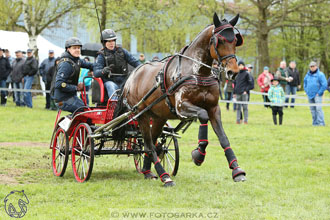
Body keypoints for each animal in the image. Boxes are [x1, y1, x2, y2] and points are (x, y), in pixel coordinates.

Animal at [118, 12, 245, 186]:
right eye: (220, 41)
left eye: (235, 40)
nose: (233, 72)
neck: (198, 72)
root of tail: (132, 76)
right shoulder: (181, 106)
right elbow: (202, 115)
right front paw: (198, 155)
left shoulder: (214, 108)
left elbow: (223, 138)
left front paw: (237, 170)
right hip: (141, 115)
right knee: (149, 145)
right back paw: (165, 176)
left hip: (158, 117)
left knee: (153, 143)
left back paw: (147, 171)